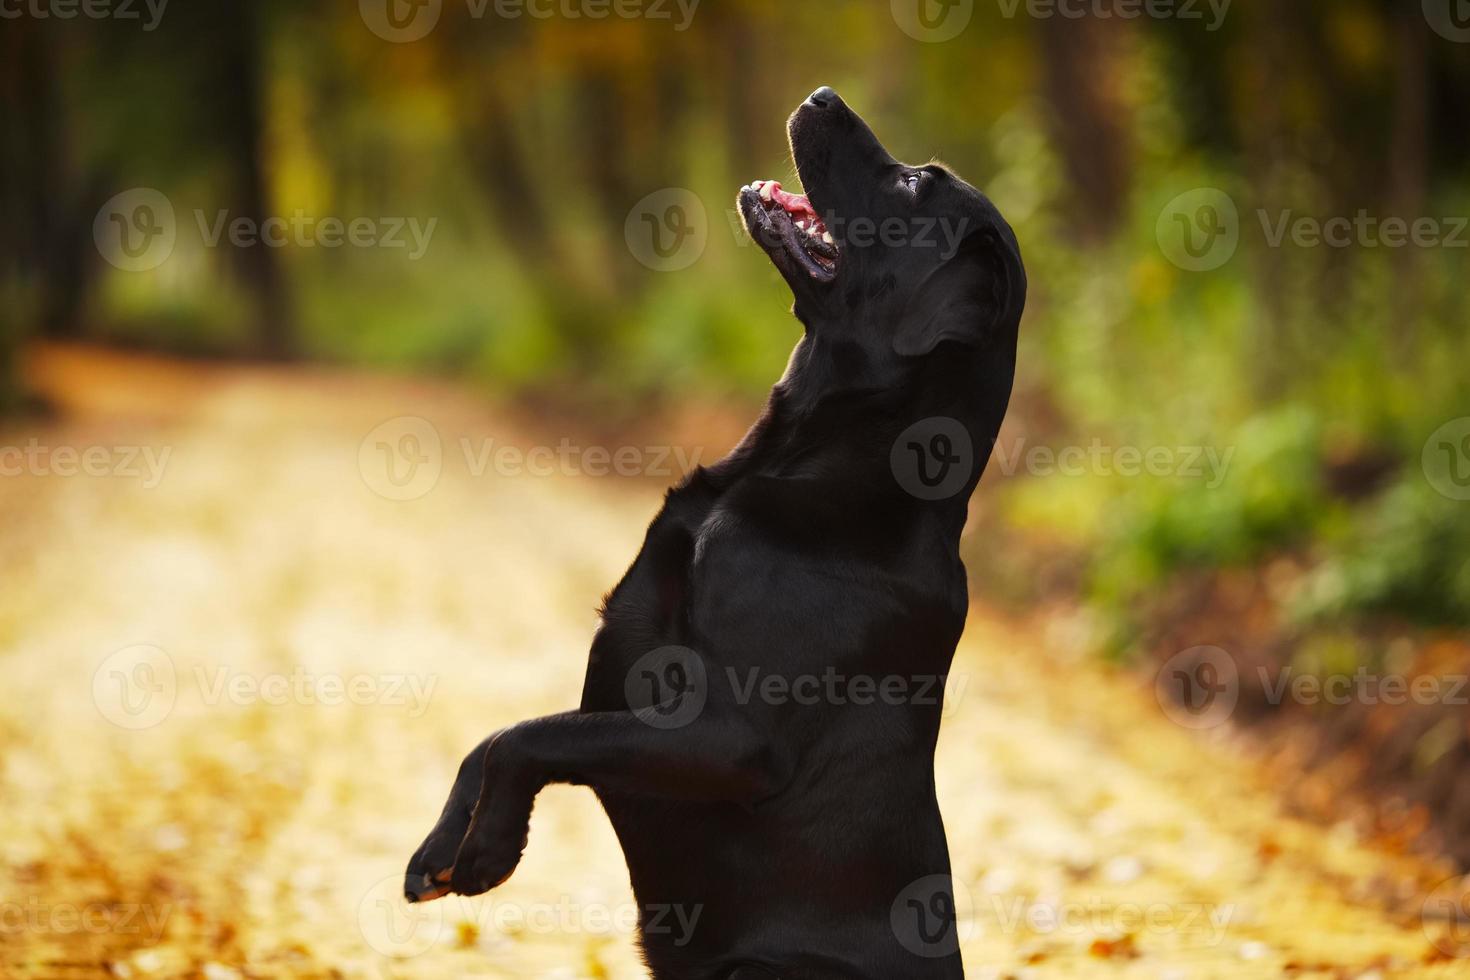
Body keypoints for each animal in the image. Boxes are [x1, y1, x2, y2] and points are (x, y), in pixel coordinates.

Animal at [402, 88, 1023, 975]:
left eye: (911, 185)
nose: (823, 95)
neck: (821, 462)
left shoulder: (729, 738)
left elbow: (524, 738)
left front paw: (488, 849)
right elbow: (494, 737)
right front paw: (440, 848)